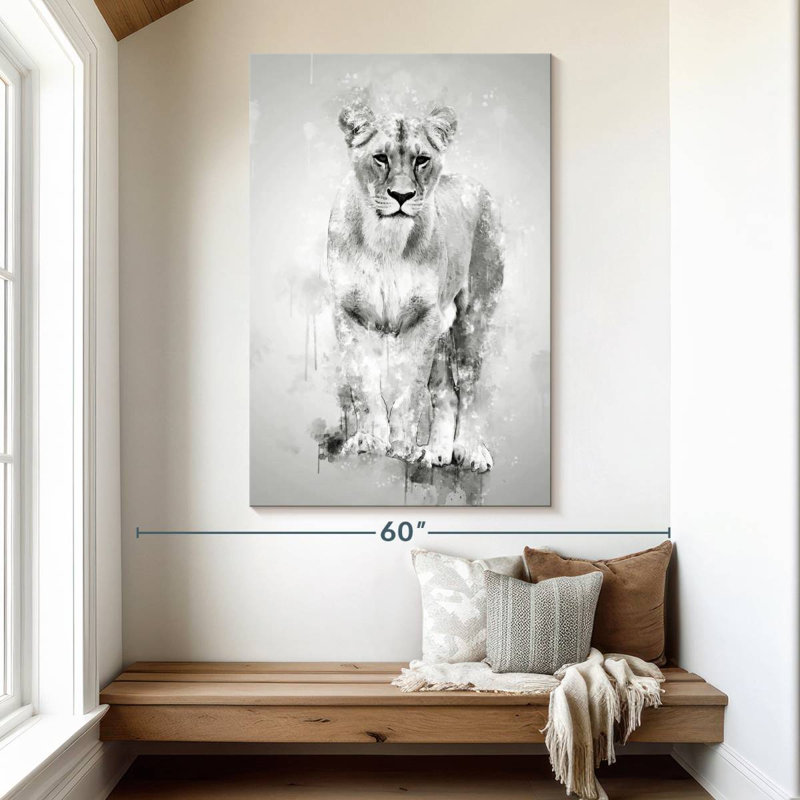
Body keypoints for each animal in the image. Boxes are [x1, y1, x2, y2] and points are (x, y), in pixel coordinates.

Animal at [326, 103, 504, 473]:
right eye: (380, 158)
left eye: (421, 160)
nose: (402, 196)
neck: (386, 241)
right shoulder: (349, 315)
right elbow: (365, 387)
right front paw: (369, 441)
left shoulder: (423, 317)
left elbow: (410, 391)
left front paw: (402, 447)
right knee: (447, 393)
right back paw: (436, 452)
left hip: (473, 318)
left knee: (469, 386)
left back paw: (469, 451)